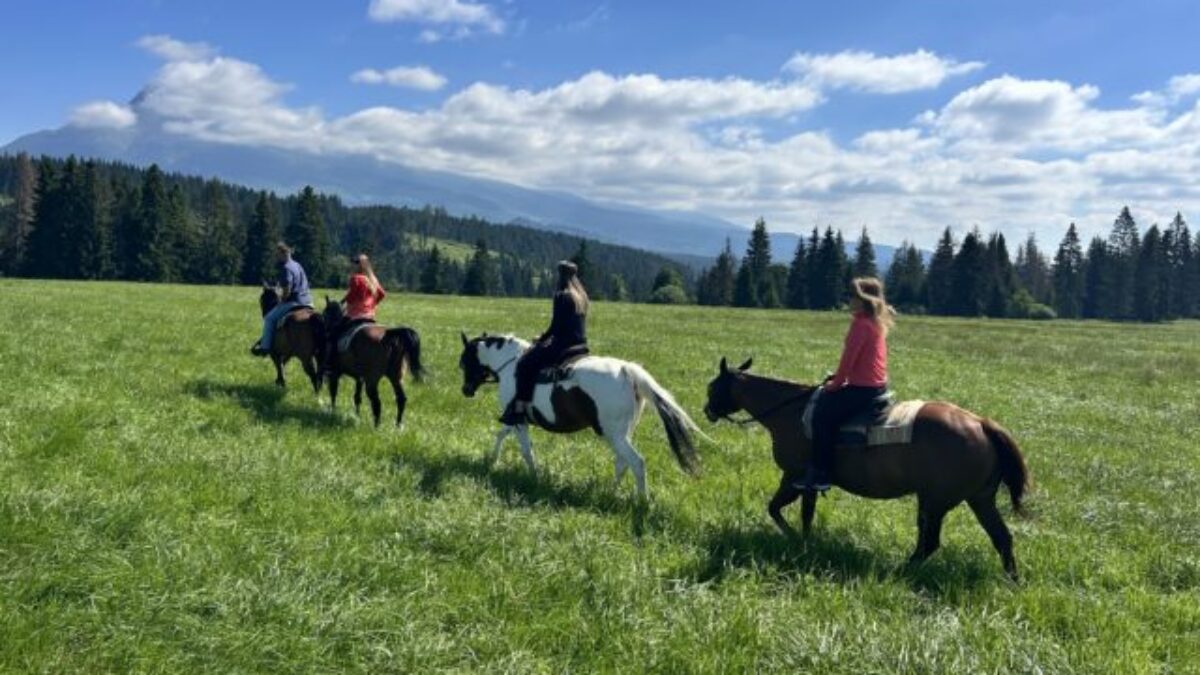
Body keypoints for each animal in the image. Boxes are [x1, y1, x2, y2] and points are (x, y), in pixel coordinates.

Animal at [321, 295, 424, 425]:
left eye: (324, 314)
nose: (325, 330)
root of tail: (389, 334)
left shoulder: (335, 373)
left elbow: (333, 392)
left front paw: (333, 411)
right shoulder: (359, 378)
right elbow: (357, 397)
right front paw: (357, 415)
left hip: (372, 380)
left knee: (376, 402)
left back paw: (376, 426)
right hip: (396, 377)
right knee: (401, 399)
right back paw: (398, 425)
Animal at [456, 331, 700, 499]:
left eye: (465, 361)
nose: (466, 390)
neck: (511, 366)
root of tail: (625, 371)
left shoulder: (518, 421)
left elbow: (526, 451)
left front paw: (534, 477)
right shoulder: (515, 420)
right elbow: (501, 435)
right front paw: (492, 460)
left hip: (614, 434)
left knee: (636, 463)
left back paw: (642, 501)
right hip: (620, 434)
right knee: (622, 463)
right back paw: (610, 492)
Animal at [700, 357, 1032, 578]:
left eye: (712, 387)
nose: (707, 411)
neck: (790, 411)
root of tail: (981, 424)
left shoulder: (797, 476)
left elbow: (787, 511)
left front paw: (801, 542)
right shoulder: (797, 480)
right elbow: (785, 510)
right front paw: (803, 541)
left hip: (934, 501)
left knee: (930, 542)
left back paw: (901, 570)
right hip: (978, 499)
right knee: (1001, 538)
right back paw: (1011, 581)